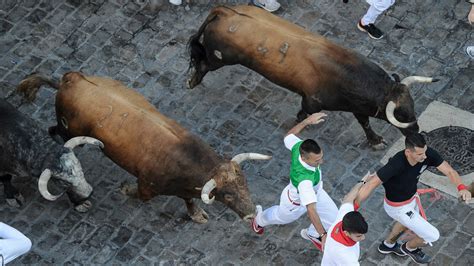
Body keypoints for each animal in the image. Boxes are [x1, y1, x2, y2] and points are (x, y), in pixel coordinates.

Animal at [17, 71, 270, 223]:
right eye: (227, 195)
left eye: (245, 184)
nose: (251, 214)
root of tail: (71, 79)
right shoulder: (147, 186)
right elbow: (139, 195)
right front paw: (124, 189)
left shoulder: (184, 188)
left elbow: (188, 200)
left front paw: (196, 214)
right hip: (68, 129)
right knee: (54, 132)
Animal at [187, 5, 438, 150]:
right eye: (401, 114)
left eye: (413, 107)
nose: (417, 131)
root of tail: (225, 11)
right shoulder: (311, 101)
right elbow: (302, 115)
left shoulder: (358, 106)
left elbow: (364, 122)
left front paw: (375, 140)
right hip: (219, 58)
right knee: (203, 62)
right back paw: (193, 80)